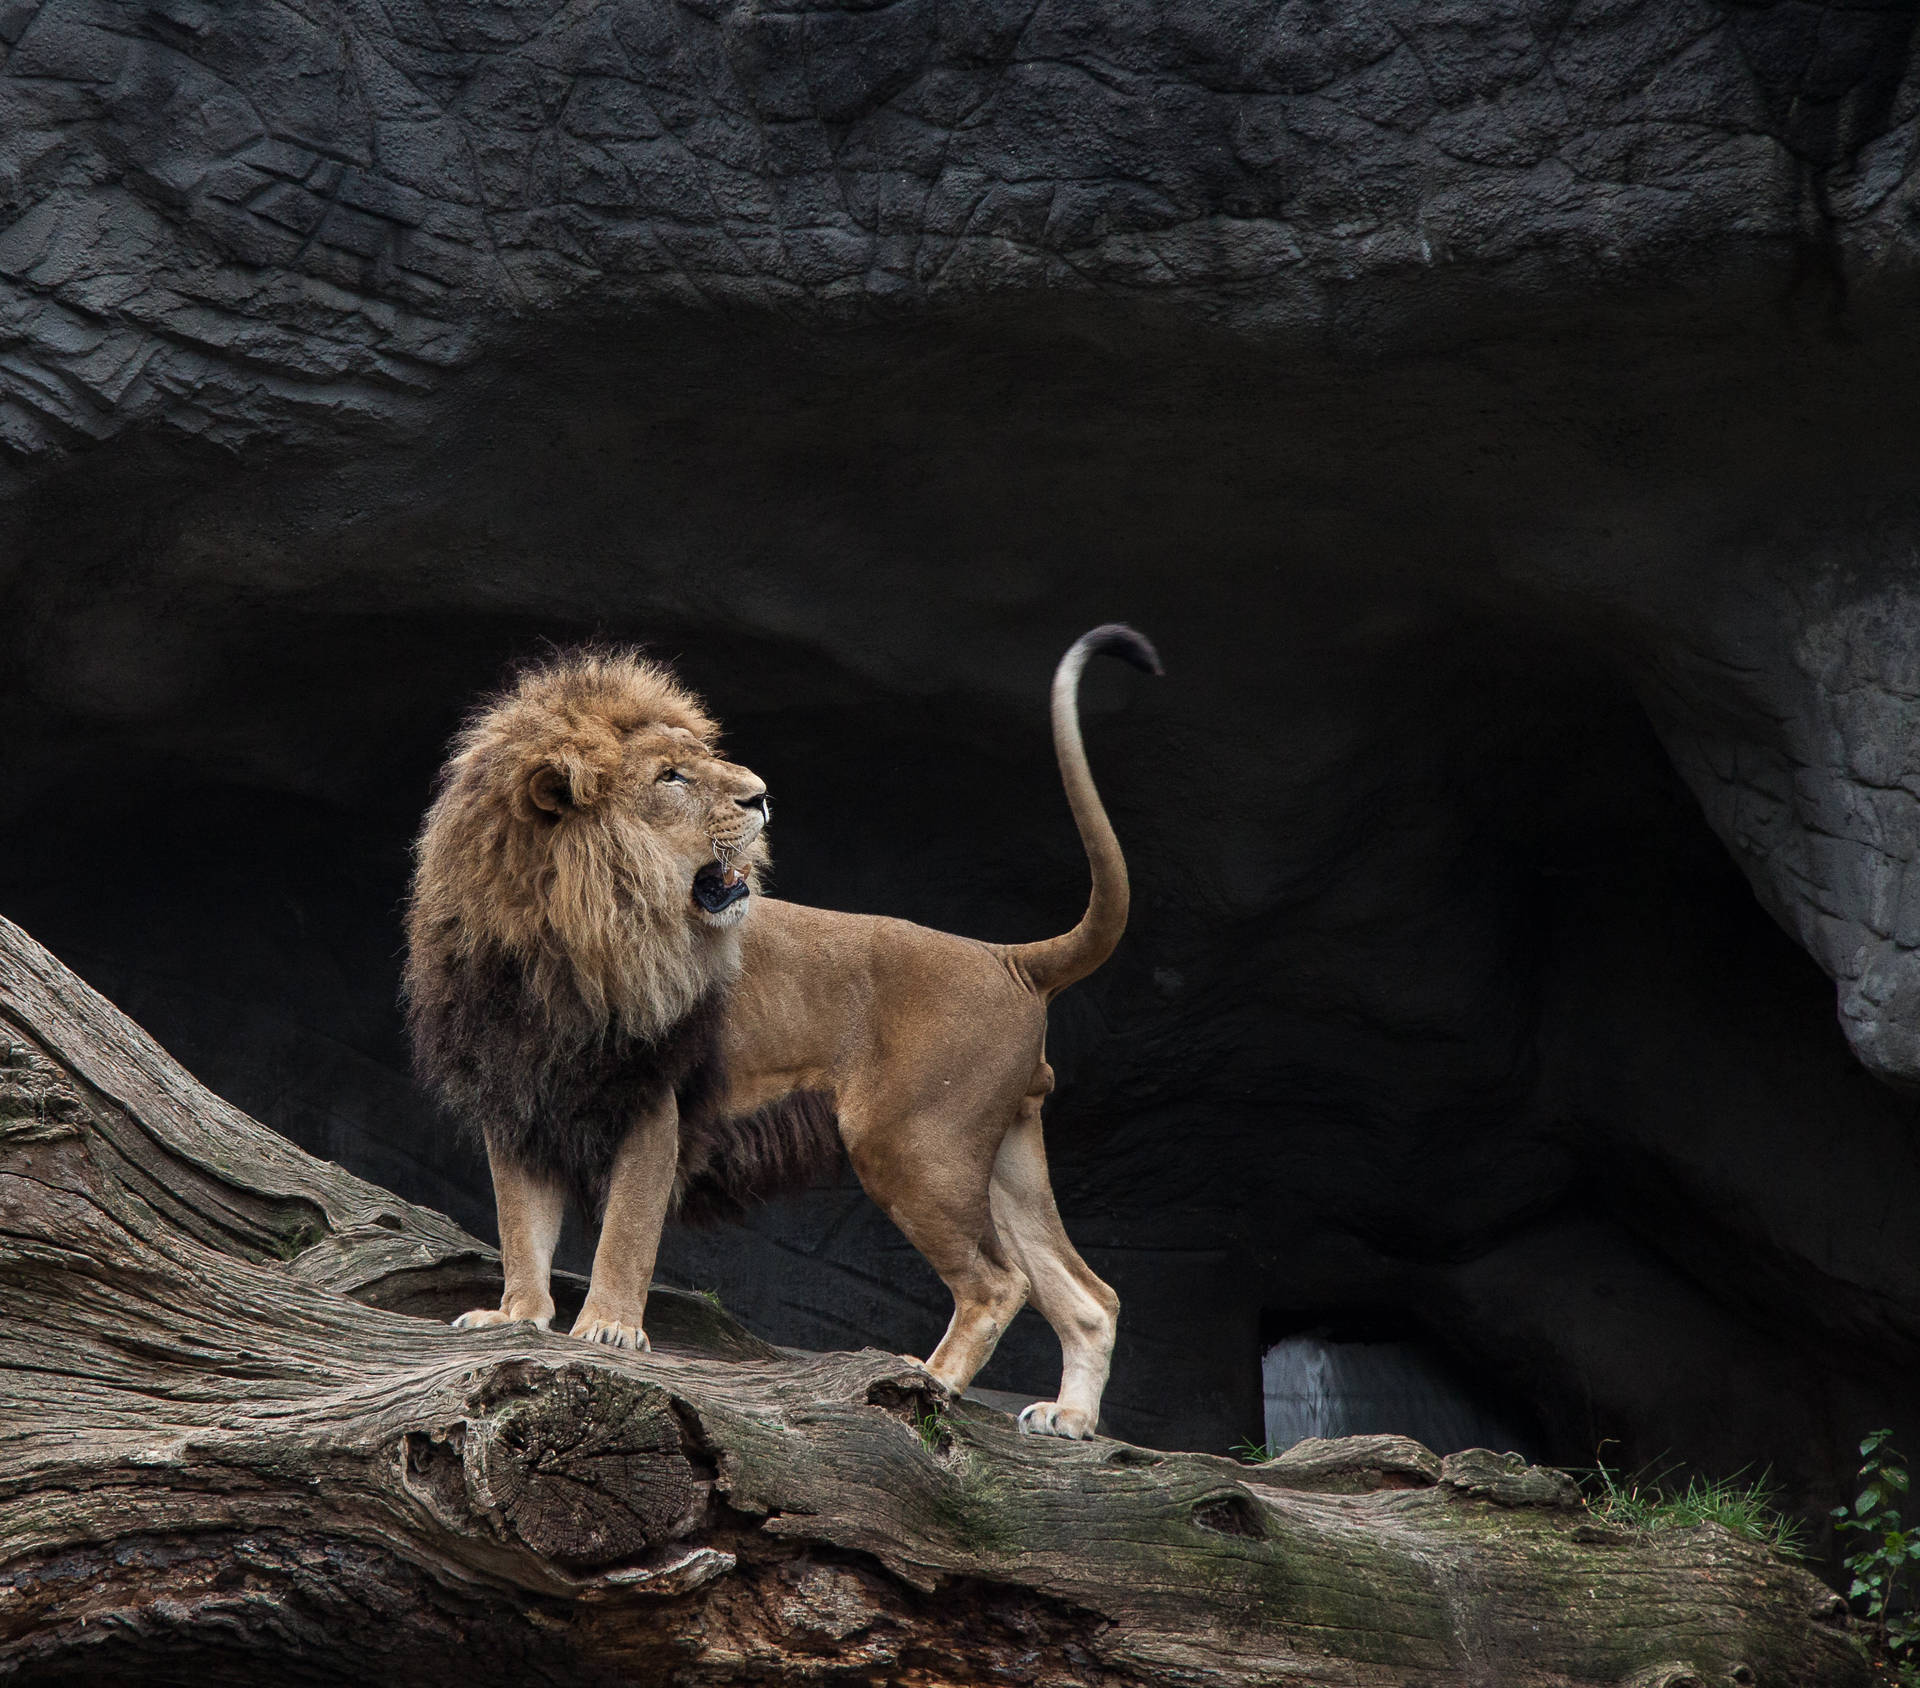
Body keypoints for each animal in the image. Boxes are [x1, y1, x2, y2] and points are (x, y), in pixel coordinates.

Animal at [404, 626, 1160, 1438]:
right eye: (671, 776)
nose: (761, 794)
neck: (557, 943)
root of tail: (1006, 957)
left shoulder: (654, 1101)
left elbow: (628, 1228)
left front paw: (608, 1328)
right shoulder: (517, 1100)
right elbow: (521, 1224)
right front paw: (517, 1316)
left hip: (913, 1144)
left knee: (998, 1283)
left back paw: (929, 1383)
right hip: (1000, 1155)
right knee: (1088, 1295)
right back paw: (1070, 1419)